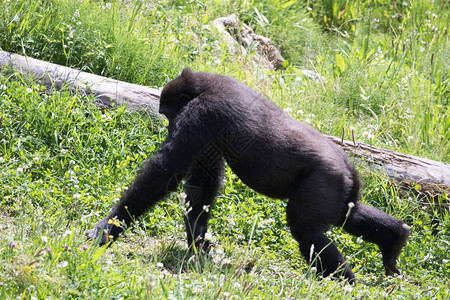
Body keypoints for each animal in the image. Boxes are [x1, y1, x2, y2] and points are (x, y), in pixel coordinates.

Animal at [87, 68, 408, 284]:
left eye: (169, 114)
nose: (167, 126)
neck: (203, 85)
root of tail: (347, 163)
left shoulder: (201, 114)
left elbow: (167, 170)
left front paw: (109, 226)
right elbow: (203, 182)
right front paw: (198, 242)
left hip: (324, 178)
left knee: (307, 230)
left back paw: (342, 281)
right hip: (341, 185)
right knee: (349, 216)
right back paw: (394, 240)